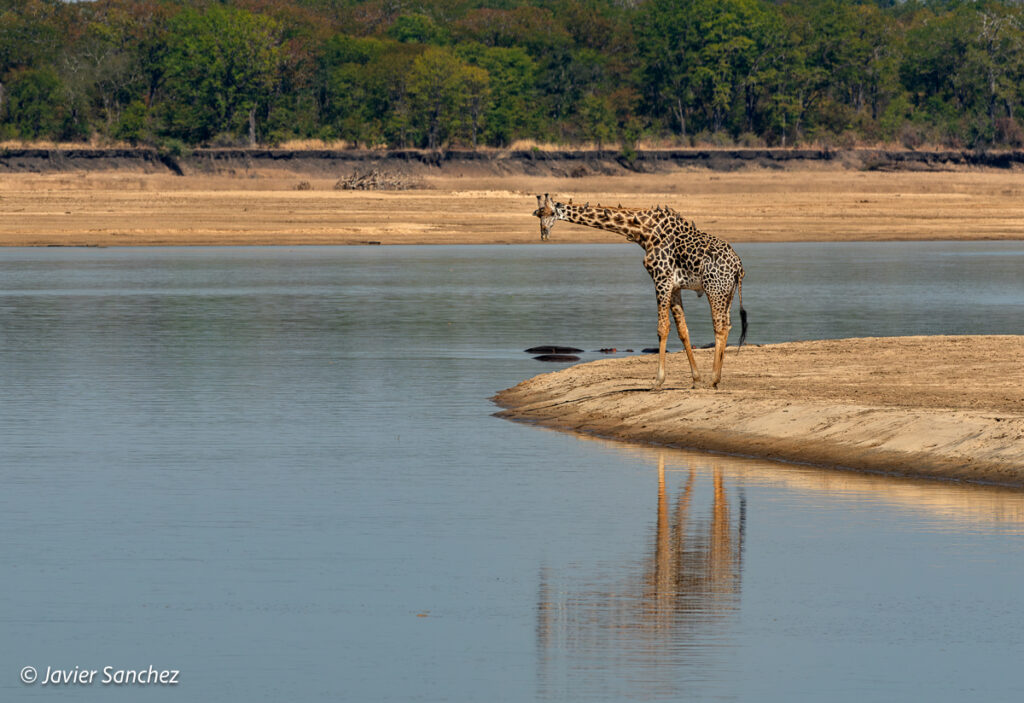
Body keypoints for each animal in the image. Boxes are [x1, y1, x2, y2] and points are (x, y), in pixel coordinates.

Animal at [532, 193, 747, 389]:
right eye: (539, 214)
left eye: (551, 213)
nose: (544, 233)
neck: (644, 230)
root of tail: (738, 266)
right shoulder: (674, 286)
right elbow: (682, 330)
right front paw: (695, 380)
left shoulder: (661, 278)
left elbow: (662, 328)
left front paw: (658, 381)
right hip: (726, 292)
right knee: (727, 325)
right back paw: (714, 378)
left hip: (715, 289)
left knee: (719, 326)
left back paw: (714, 380)